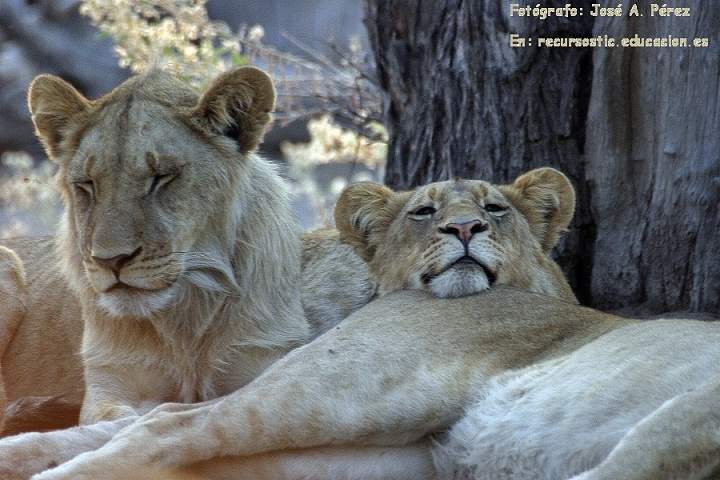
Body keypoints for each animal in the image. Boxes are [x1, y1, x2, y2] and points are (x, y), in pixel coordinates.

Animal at [12, 166, 720, 480]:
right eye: (422, 212)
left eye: (497, 208)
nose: (467, 228)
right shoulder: (691, 417)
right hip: (353, 391)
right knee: (168, 424)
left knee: (169, 430)